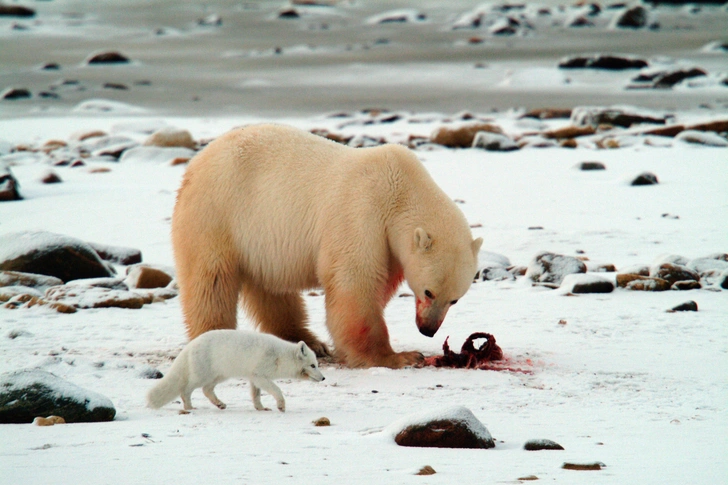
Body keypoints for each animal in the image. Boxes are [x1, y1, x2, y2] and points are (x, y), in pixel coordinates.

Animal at [146, 328, 326, 410]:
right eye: (313, 365)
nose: (323, 378)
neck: (279, 357)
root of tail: (191, 344)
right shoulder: (260, 376)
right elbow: (277, 390)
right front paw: (281, 406)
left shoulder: (254, 378)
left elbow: (256, 396)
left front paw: (261, 408)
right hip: (202, 376)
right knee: (186, 391)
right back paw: (189, 408)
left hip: (219, 376)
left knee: (206, 390)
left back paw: (219, 404)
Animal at [172, 124, 484, 366]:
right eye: (428, 292)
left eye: (454, 299)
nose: (428, 330)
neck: (399, 188)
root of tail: (196, 162)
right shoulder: (361, 212)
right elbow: (355, 283)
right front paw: (399, 357)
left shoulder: (389, 244)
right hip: (217, 213)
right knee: (211, 281)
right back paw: (214, 338)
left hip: (257, 236)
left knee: (271, 290)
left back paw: (307, 341)